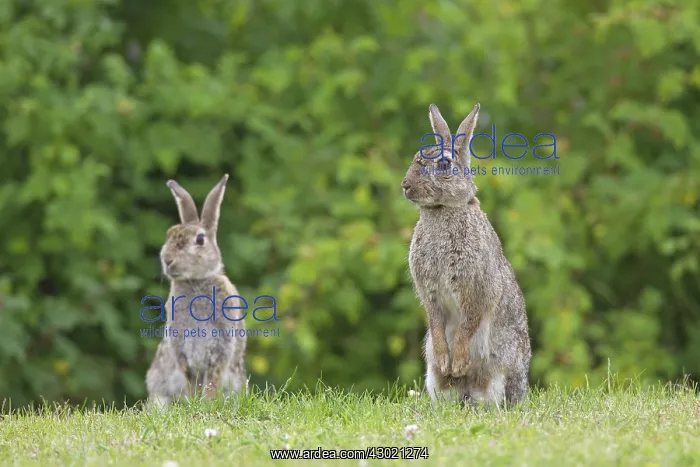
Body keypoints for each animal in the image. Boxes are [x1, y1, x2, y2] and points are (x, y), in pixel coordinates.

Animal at [145, 174, 247, 410]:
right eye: (169, 235)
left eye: (200, 240)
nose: (167, 260)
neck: (196, 281)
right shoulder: (183, 352)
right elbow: (193, 382)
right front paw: (196, 403)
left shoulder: (220, 349)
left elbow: (212, 382)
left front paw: (207, 404)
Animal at [402, 103, 531, 406]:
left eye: (444, 165)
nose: (405, 185)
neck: (443, 210)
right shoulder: (430, 294)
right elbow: (436, 322)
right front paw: (445, 360)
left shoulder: (476, 287)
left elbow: (468, 324)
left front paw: (459, 363)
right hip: (434, 378)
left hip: (500, 371)